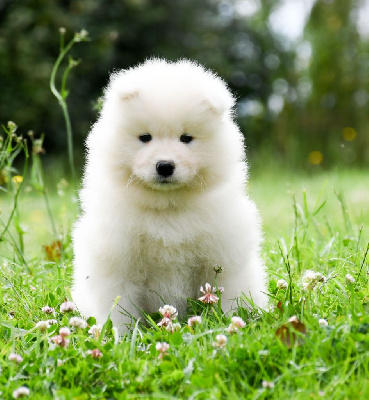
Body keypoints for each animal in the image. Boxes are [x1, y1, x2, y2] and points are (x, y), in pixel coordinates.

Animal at [72, 58, 266, 328]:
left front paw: (232, 323)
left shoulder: (224, 257)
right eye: (145, 137)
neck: (167, 209)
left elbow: (229, 295)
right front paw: (122, 335)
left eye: (186, 138)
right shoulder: (117, 261)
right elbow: (119, 309)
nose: (165, 166)